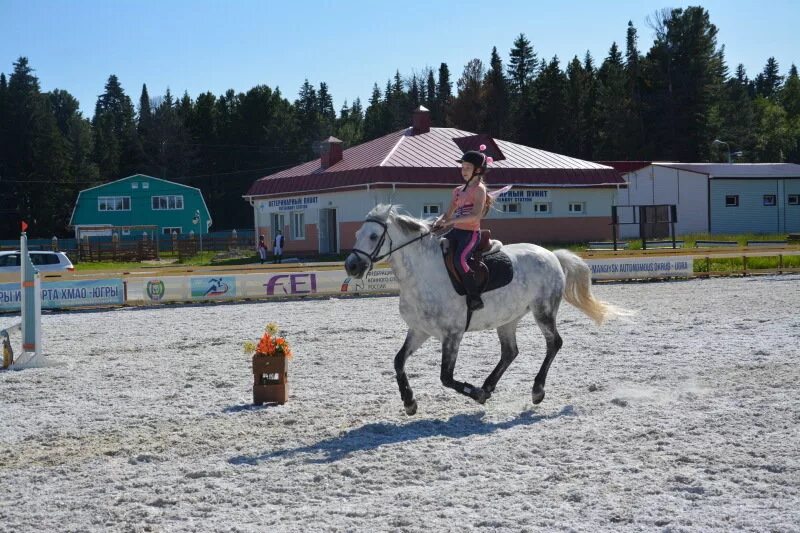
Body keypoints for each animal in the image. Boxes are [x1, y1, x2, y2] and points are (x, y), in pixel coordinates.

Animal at [344, 205, 624, 416]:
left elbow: (446, 377)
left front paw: (475, 393)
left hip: (543, 311)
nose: (351, 266)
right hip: (508, 318)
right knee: (510, 352)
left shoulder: (452, 334)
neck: (422, 275)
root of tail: (552, 255)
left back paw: (535, 390)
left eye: (373, 236)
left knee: (554, 343)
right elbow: (398, 361)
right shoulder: (419, 330)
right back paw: (489, 387)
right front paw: (409, 401)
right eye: (357, 233)